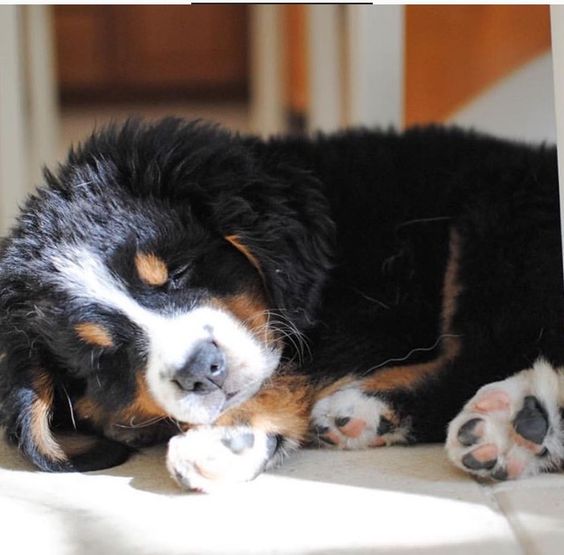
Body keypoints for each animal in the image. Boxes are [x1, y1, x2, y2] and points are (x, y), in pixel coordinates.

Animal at [1, 119, 564, 494]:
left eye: (177, 272)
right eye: (102, 359)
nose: (202, 369)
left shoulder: (363, 311)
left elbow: (289, 370)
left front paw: (224, 438)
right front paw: (235, 440)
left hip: (499, 223)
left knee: (492, 344)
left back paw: (513, 422)